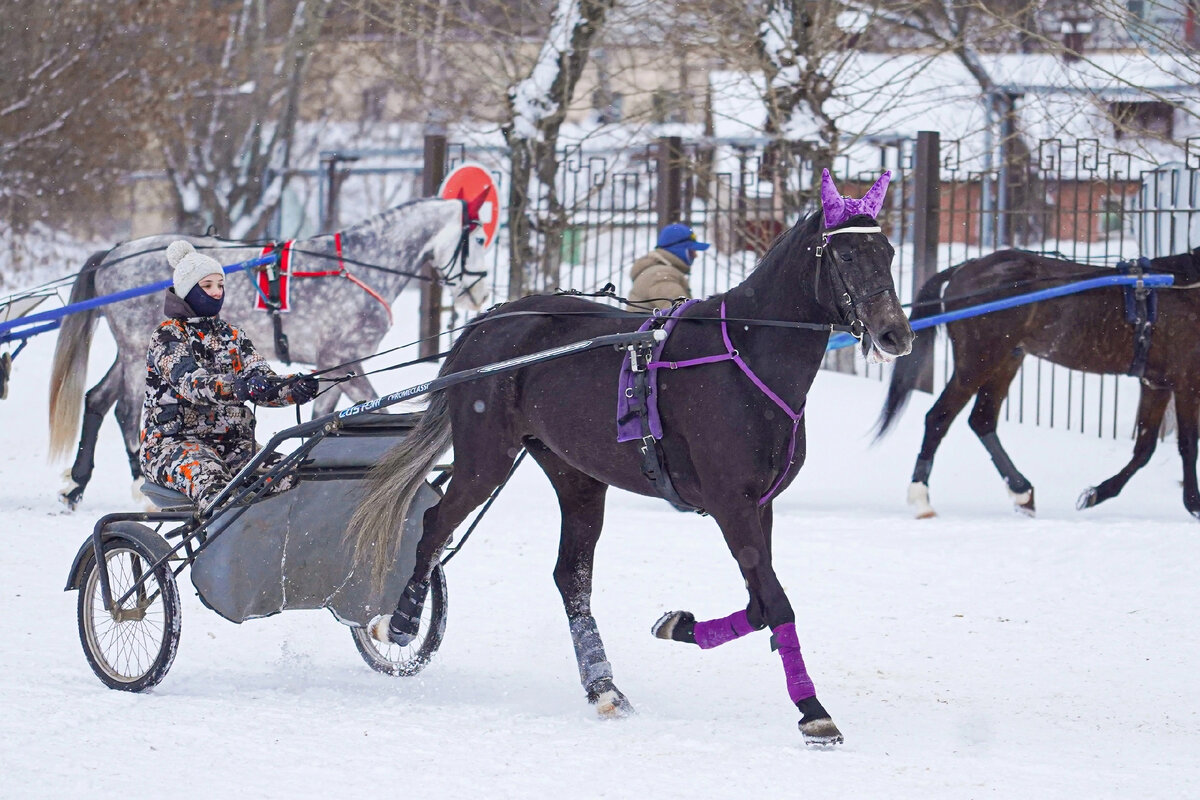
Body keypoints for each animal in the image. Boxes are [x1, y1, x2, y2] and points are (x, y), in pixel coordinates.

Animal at [45, 195, 487, 506]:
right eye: (481, 237)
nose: (479, 292)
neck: (357, 266)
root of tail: (114, 253)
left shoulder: (333, 367)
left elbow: (325, 412)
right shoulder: (343, 356)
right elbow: (375, 406)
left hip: (130, 351)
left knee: (98, 399)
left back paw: (77, 483)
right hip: (139, 348)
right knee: (124, 409)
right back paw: (138, 484)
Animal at [350, 172, 912, 748]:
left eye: (889, 251)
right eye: (845, 254)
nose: (896, 333)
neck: (744, 355)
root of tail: (490, 321)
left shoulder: (760, 504)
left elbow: (759, 604)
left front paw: (678, 624)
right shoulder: (731, 503)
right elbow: (774, 602)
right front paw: (812, 709)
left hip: (575, 475)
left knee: (570, 576)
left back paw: (603, 687)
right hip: (486, 456)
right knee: (436, 525)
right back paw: (399, 622)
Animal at [873, 245, 1200, 520]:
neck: (1184, 285)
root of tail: (965, 268)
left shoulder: (1156, 383)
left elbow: (1144, 448)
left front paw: (1095, 494)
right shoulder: (1187, 383)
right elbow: (1188, 444)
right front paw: (1194, 504)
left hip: (1007, 359)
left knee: (982, 420)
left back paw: (1021, 491)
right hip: (978, 362)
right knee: (939, 417)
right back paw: (921, 498)